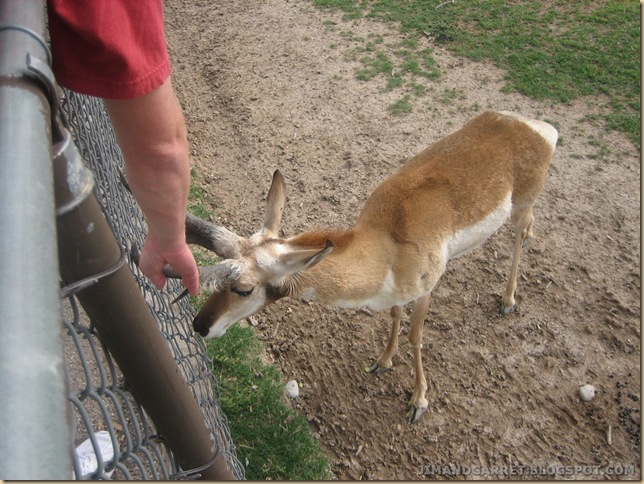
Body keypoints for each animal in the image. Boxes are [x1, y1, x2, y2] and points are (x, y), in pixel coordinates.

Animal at [177, 111, 560, 422]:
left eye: (244, 288)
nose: (199, 325)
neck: (387, 243)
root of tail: (536, 127)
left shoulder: (426, 290)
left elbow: (416, 336)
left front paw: (418, 402)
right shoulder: (396, 295)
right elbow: (394, 316)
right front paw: (382, 362)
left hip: (522, 205)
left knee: (519, 234)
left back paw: (508, 300)